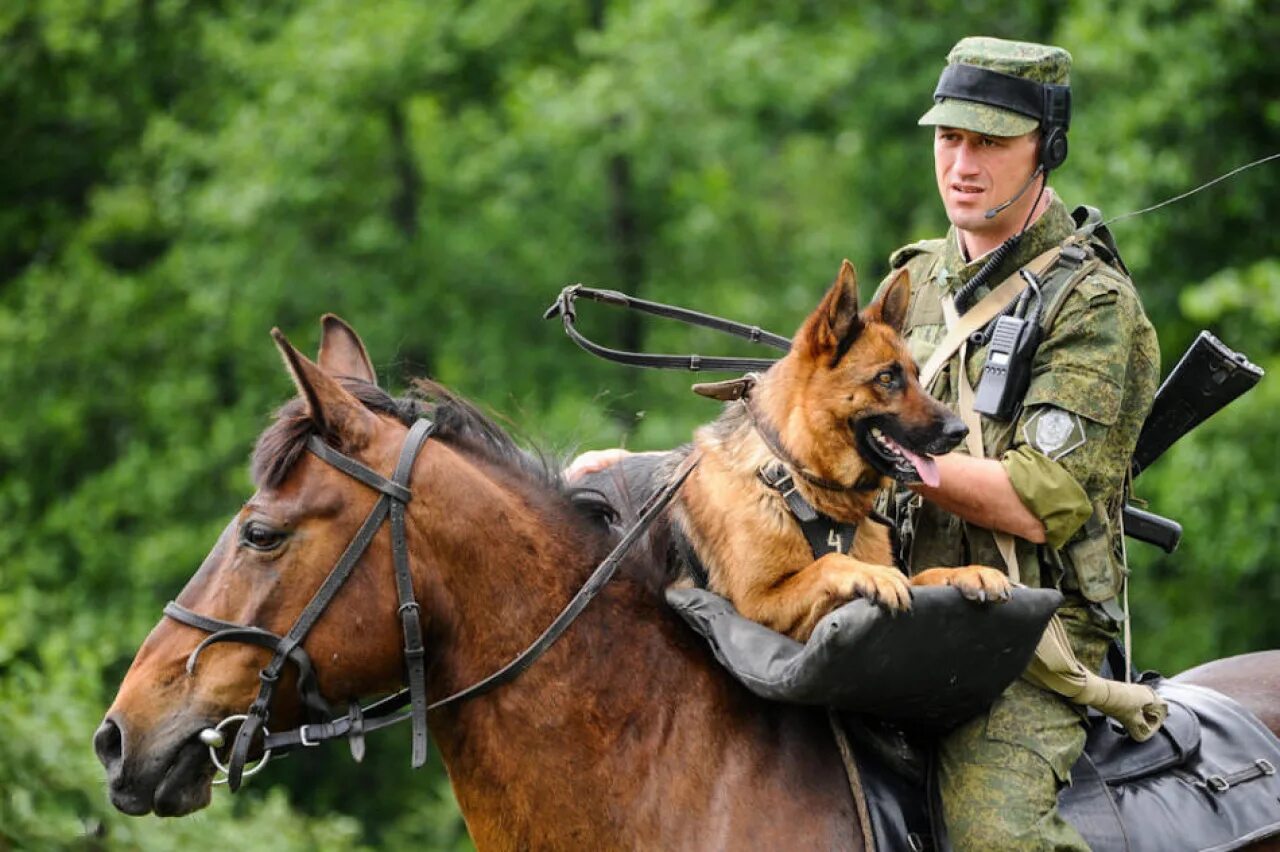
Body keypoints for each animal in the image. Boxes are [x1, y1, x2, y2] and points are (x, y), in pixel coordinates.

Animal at [670, 258, 1008, 637]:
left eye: (916, 376)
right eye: (886, 378)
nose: (959, 431)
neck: (796, 480)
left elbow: (923, 575)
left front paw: (967, 573)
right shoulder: (755, 608)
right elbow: (830, 561)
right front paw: (871, 574)